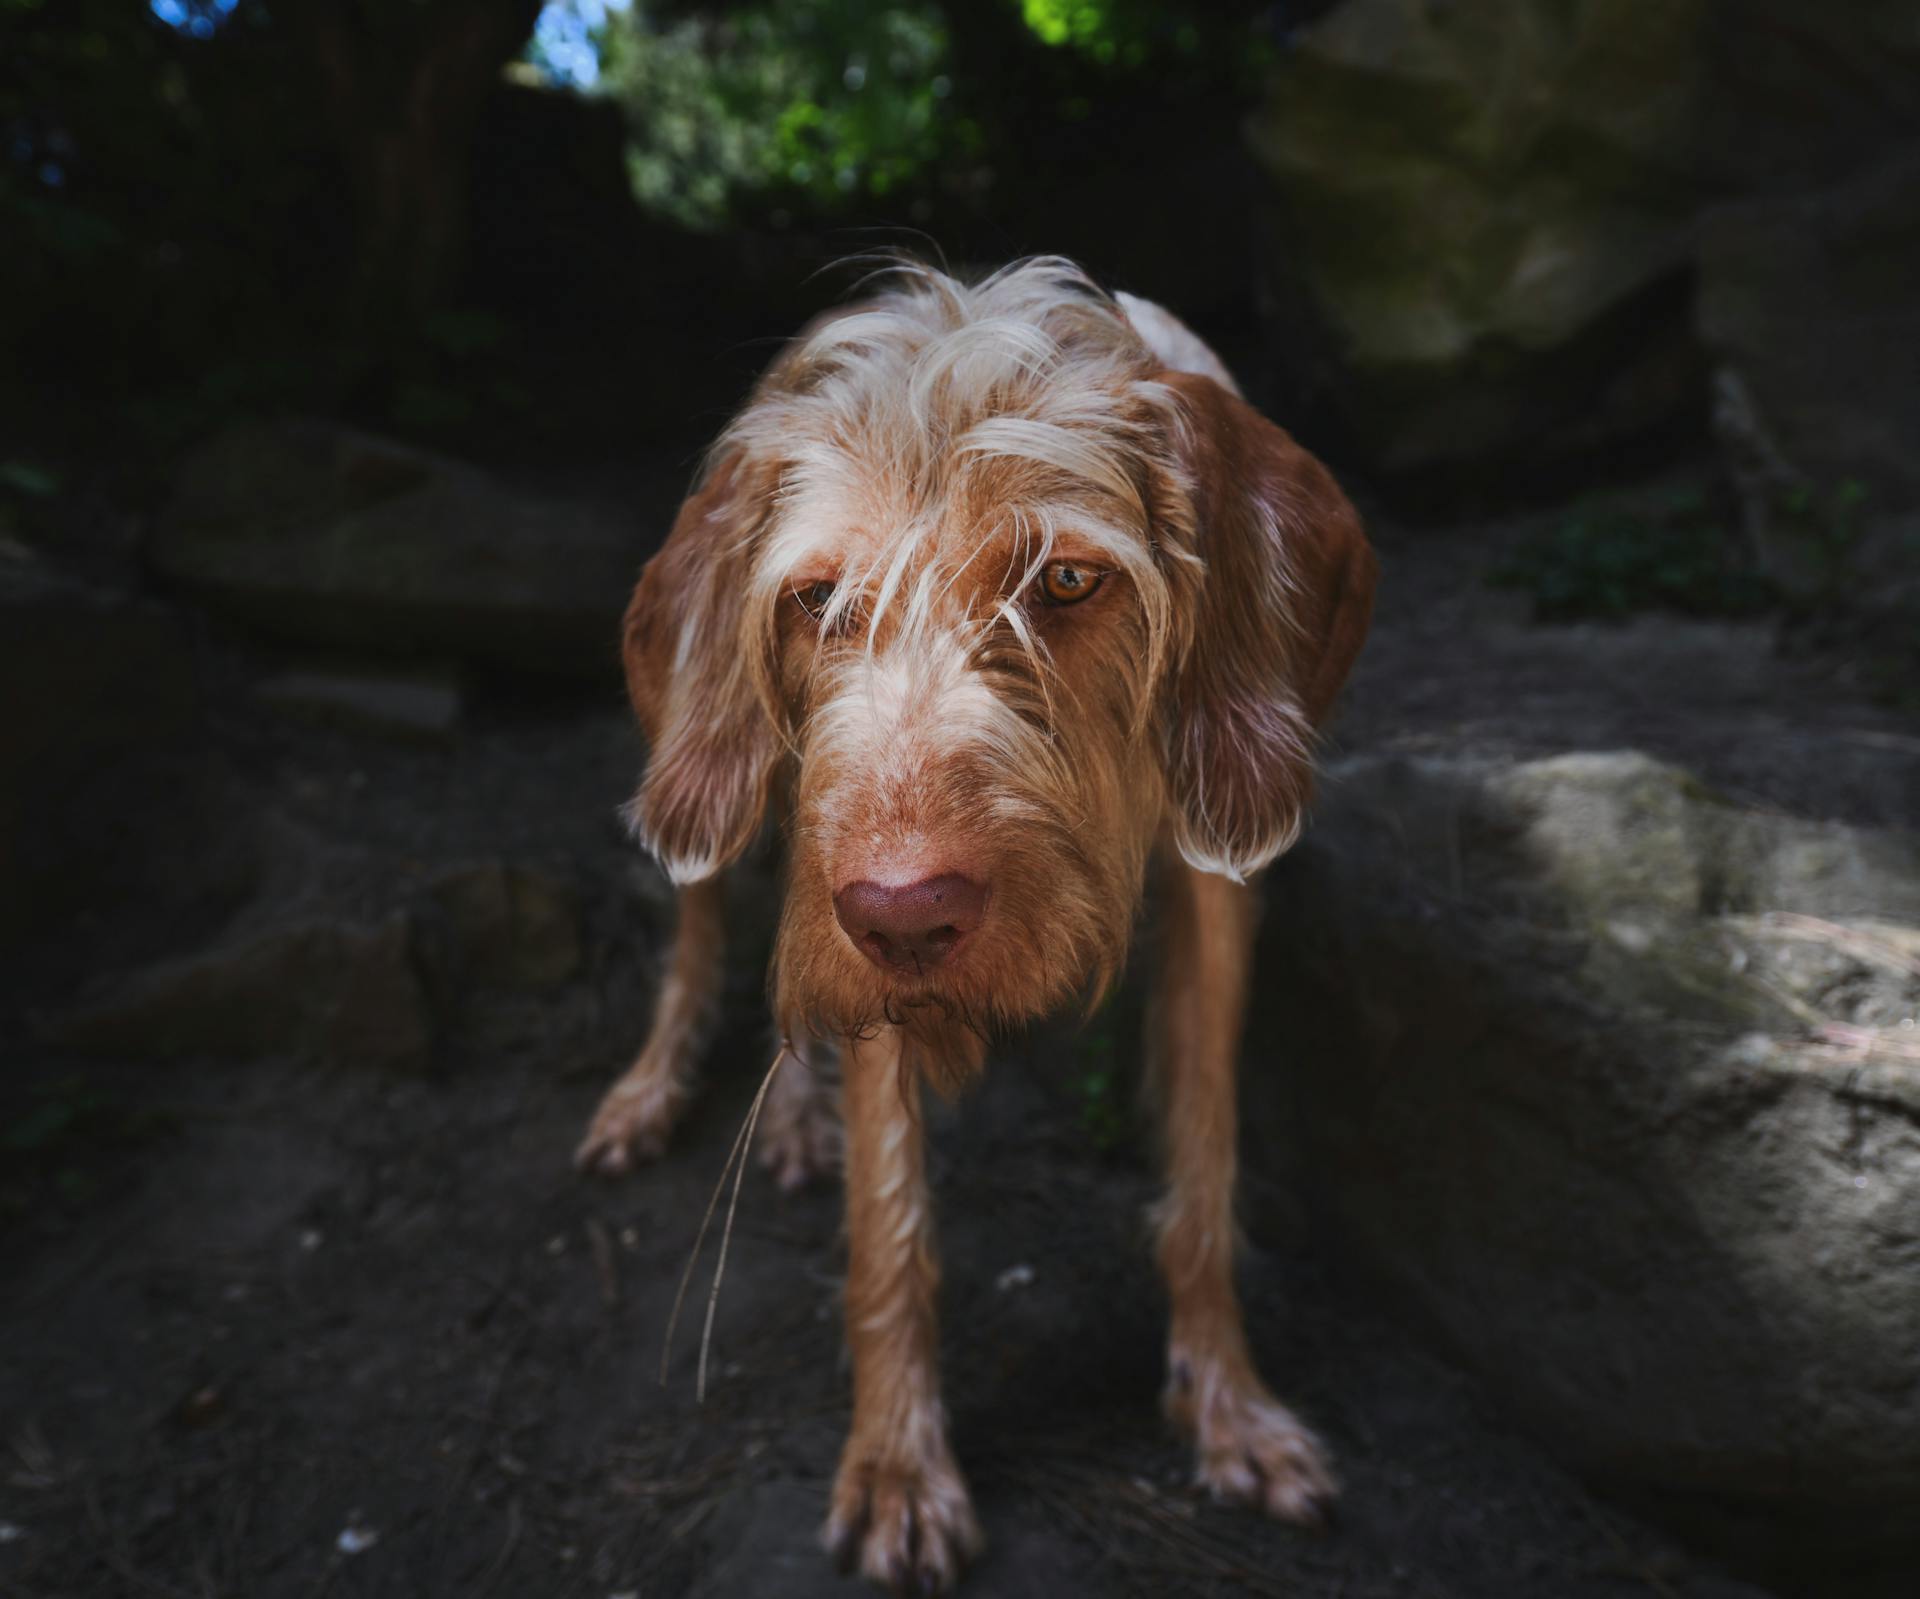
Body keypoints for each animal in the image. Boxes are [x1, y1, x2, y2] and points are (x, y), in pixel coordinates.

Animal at [576, 259, 1374, 1581]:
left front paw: (1228, 1404)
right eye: (819, 600)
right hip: (749, 807)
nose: (905, 916)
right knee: (709, 938)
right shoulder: (850, 916)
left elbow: (1205, 1169)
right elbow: (890, 1227)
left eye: (1065, 580)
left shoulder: (1216, 894)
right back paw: (657, 1093)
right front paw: (900, 1463)